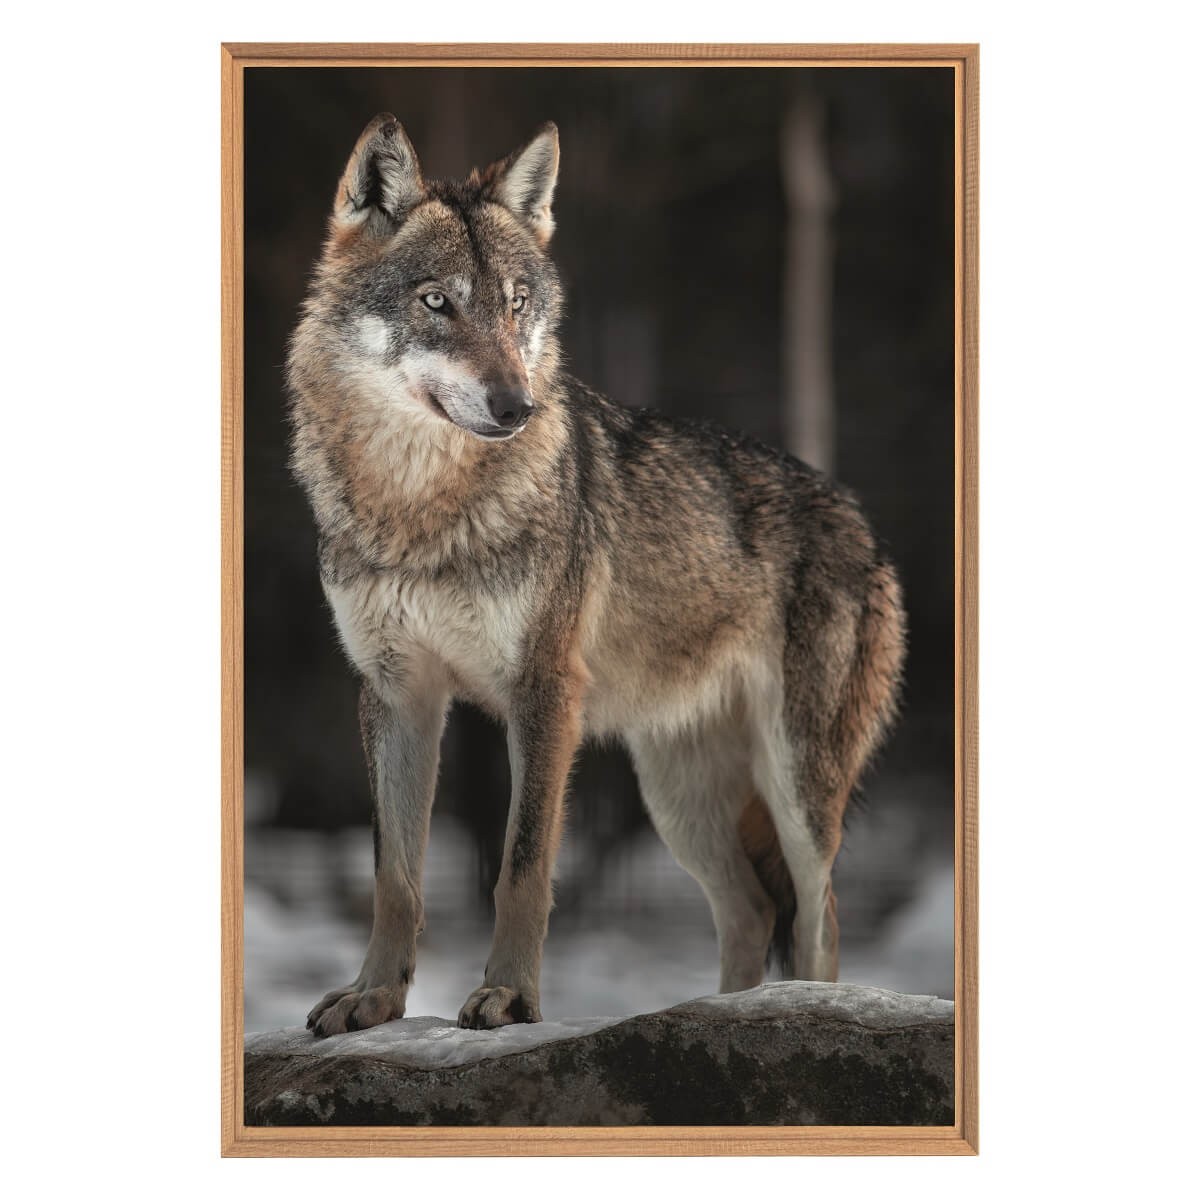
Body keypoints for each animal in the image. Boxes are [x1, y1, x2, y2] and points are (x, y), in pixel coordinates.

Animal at [287, 114, 906, 1035]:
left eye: (516, 304)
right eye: (437, 302)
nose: (516, 407)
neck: (420, 507)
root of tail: (863, 522)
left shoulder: (544, 690)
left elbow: (521, 866)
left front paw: (510, 998)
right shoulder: (397, 694)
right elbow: (394, 876)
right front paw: (375, 998)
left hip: (795, 785)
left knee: (818, 914)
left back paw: (802, 1008)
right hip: (677, 794)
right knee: (753, 911)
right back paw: (720, 1017)